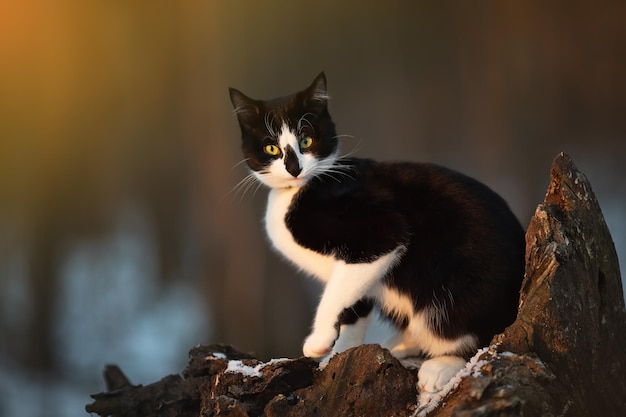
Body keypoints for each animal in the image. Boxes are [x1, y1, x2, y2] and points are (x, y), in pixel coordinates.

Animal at [227, 73, 524, 398]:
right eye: (271, 149)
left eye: (306, 140)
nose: (294, 168)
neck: (297, 192)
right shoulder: (354, 272)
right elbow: (352, 308)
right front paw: (338, 355)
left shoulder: (378, 234)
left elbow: (336, 296)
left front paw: (318, 341)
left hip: (457, 290)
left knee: (476, 336)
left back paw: (441, 365)